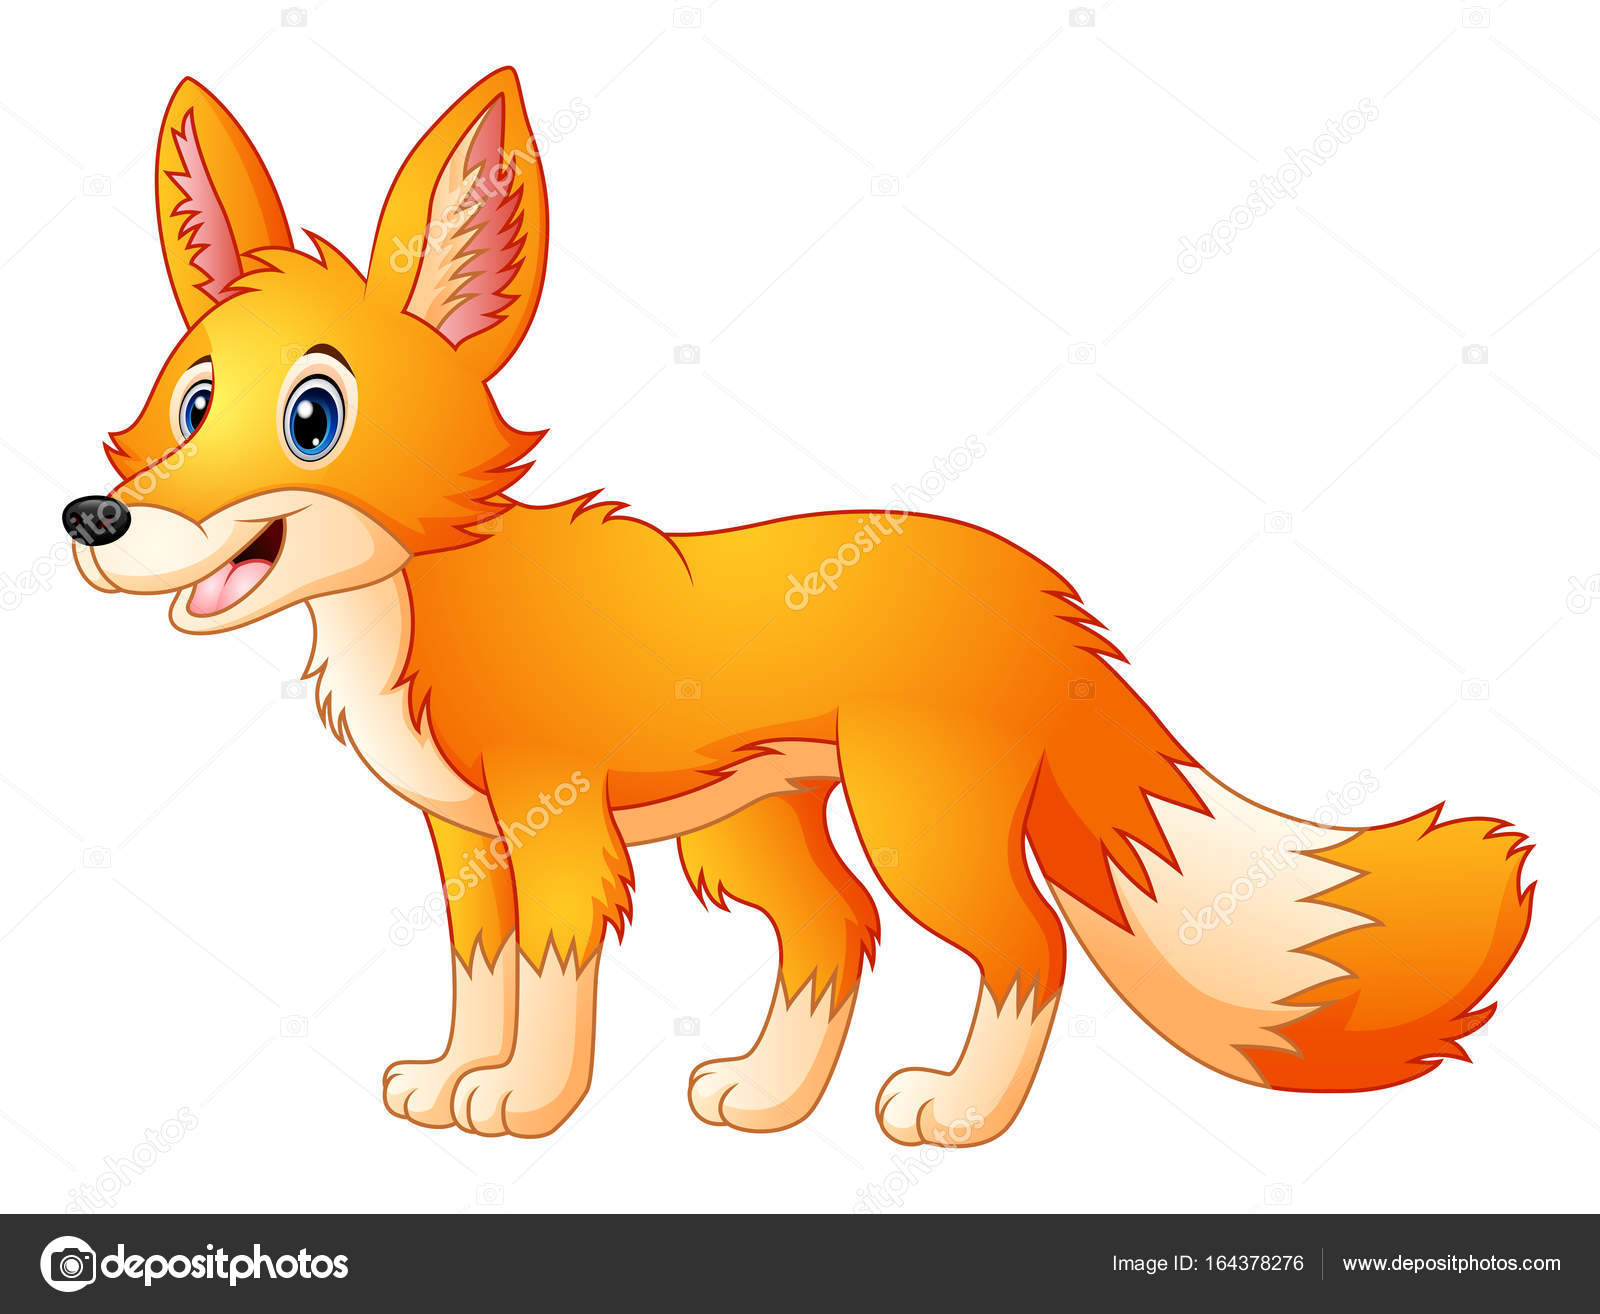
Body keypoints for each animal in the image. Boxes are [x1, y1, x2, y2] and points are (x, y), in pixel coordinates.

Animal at [65, 68, 1534, 1147]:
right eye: (190, 401)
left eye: (313, 418)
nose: (94, 520)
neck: (419, 612)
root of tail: (1045, 595)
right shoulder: (465, 836)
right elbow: (481, 972)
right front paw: (445, 1080)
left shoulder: (557, 821)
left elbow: (550, 975)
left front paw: (525, 1104)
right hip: (753, 825)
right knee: (837, 933)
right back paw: (767, 1099)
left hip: (912, 822)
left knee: (1027, 946)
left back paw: (957, 1114)